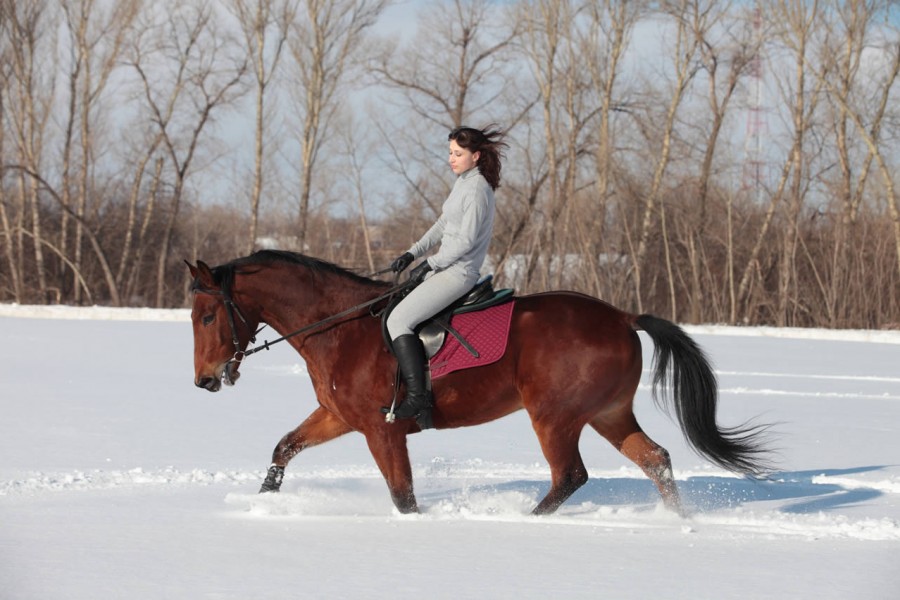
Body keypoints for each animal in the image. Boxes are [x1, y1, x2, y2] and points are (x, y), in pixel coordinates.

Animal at [186, 249, 770, 516]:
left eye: (209, 316)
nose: (204, 381)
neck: (342, 327)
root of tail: (624, 318)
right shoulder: (339, 417)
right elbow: (284, 447)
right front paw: (262, 502)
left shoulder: (382, 430)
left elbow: (403, 496)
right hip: (607, 414)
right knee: (656, 460)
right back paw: (678, 519)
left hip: (554, 417)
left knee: (570, 475)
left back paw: (530, 520)